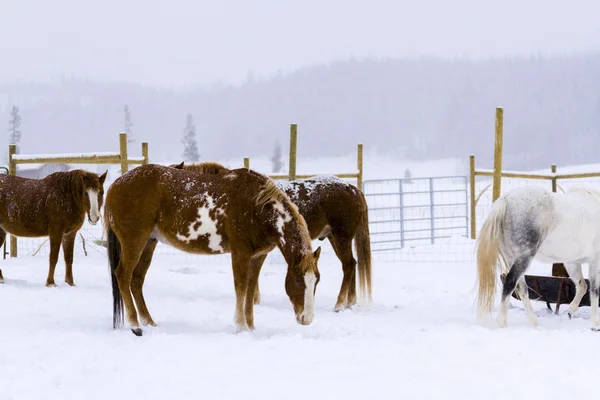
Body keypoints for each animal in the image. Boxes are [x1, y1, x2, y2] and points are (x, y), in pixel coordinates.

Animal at [105, 164, 322, 336]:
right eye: (297, 280)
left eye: (317, 280)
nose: (307, 318)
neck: (257, 206)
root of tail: (115, 185)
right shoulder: (240, 254)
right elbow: (241, 288)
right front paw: (241, 326)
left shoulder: (258, 256)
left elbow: (251, 289)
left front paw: (251, 327)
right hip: (134, 242)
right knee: (123, 275)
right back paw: (135, 326)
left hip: (149, 242)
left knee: (136, 279)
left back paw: (149, 322)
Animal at [171, 162, 372, 312]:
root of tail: (354, 190)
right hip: (334, 237)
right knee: (352, 264)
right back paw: (349, 302)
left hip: (341, 237)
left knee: (348, 265)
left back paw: (340, 304)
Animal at [478, 184, 600, 328]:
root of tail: (505, 200)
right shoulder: (595, 261)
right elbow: (594, 290)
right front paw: (595, 322)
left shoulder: (572, 262)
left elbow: (582, 286)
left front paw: (570, 312)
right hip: (524, 257)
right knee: (510, 283)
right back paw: (502, 323)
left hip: (512, 259)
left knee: (522, 289)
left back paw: (535, 322)